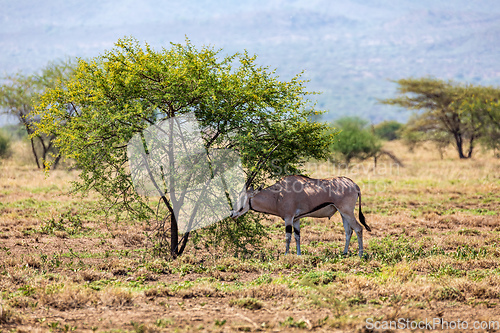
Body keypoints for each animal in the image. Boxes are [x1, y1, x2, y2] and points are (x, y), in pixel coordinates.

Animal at [230, 175, 372, 258]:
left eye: (243, 199)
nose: (232, 214)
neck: (278, 195)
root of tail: (354, 185)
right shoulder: (296, 219)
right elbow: (297, 236)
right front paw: (298, 254)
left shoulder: (288, 218)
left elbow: (288, 236)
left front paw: (286, 254)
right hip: (343, 213)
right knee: (348, 231)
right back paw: (344, 253)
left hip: (347, 211)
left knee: (358, 228)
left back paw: (360, 255)